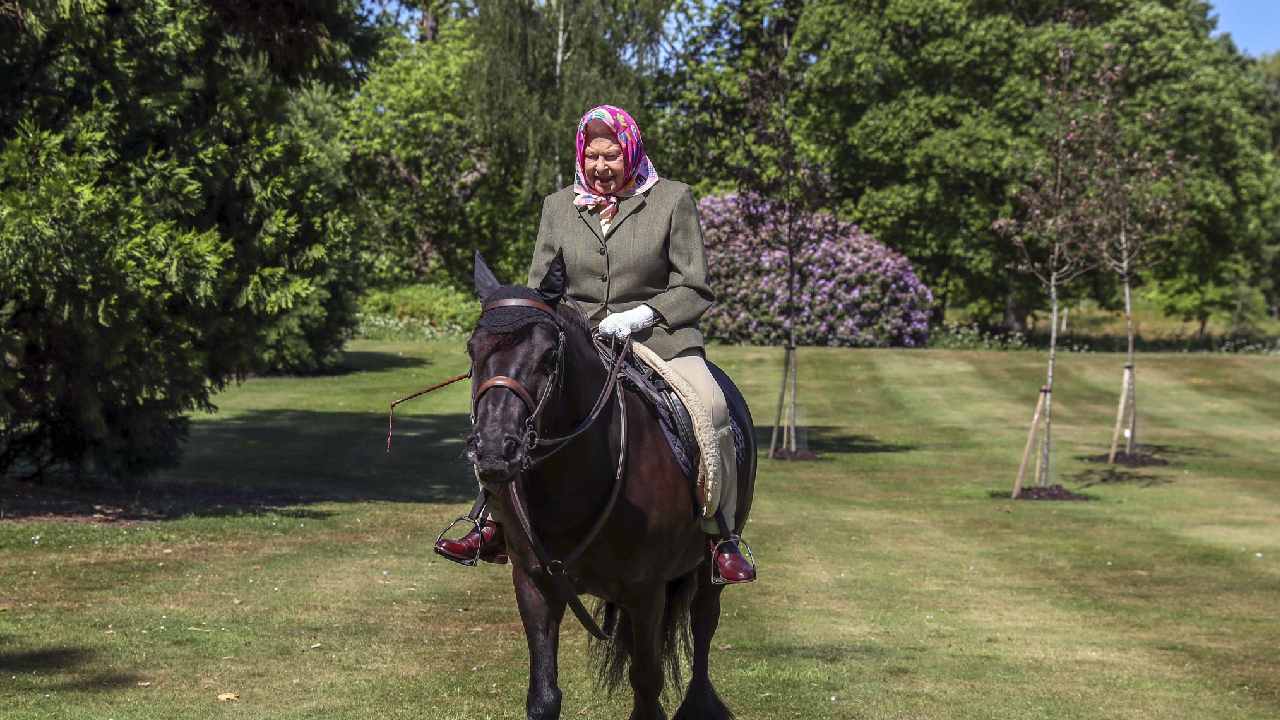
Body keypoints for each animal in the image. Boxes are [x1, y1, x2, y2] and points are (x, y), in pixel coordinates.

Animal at [465, 249, 752, 712]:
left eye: (549, 356)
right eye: (472, 351)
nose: (493, 450)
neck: (571, 481)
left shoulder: (646, 591)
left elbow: (647, 684)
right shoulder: (535, 583)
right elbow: (544, 694)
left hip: (707, 570)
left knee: (704, 623)